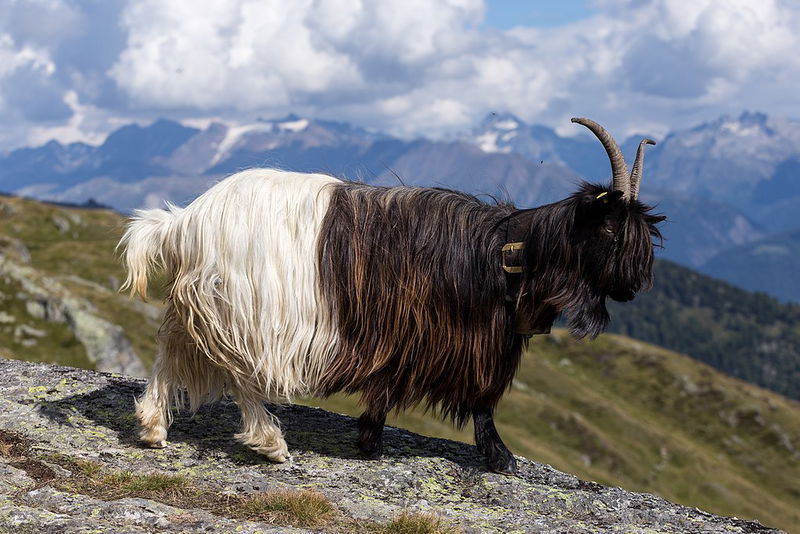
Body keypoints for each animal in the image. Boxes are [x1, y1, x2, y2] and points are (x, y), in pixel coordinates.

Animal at [119, 118, 664, 478]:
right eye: (611, 229)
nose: (632, 287)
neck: (508, 253)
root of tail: (185, 221)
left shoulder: (405, 336)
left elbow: (386, 387)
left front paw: (369, 439)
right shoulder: (459, 340)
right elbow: (482, 400)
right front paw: (499, 456)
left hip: (199, 304)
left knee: (171, 352)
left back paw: (152, 427)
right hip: (244, 308)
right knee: (238, 374)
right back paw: (270, 441)